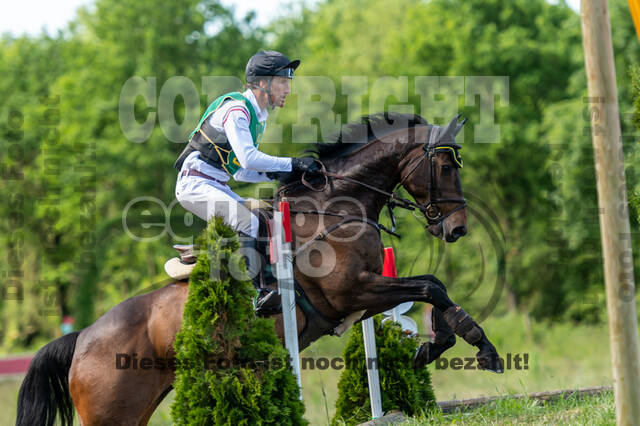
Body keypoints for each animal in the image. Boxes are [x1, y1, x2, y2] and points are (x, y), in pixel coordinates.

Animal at [16, 113, 503, 426]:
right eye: (445, 165)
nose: (457, 228)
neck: (335, 208)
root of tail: (81, 339)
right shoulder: (354, 291)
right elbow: (431, 287)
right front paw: (471, 348)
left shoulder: (360, 301)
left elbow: (432, 287)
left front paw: (449, 347)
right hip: (111, 412)